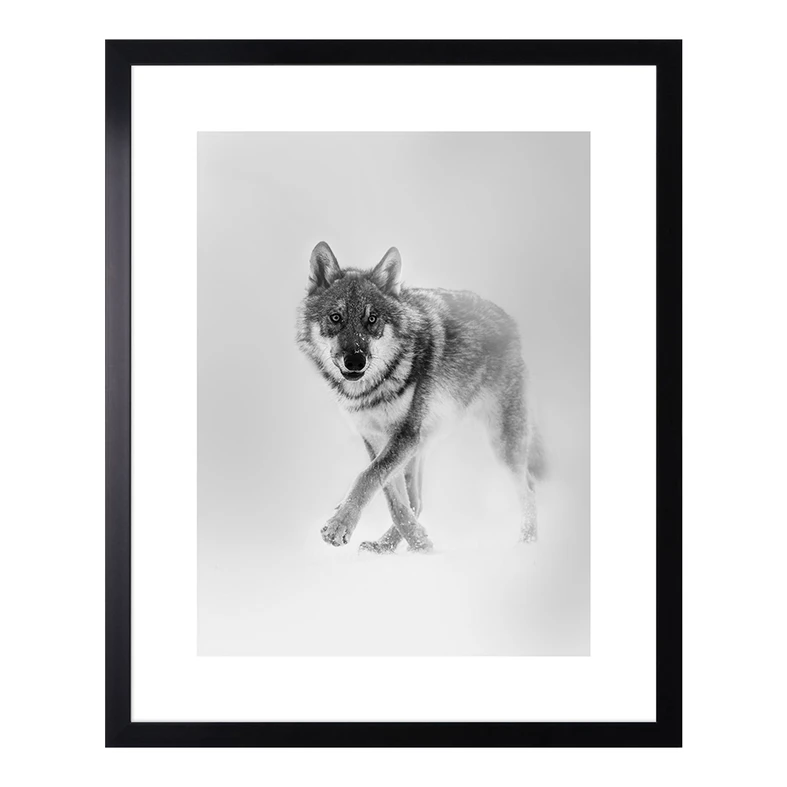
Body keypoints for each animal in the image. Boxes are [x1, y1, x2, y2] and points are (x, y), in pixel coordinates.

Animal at [296, 242, 543, 553]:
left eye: (372, 319)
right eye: (335, 318)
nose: (355, 361)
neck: (372, 390)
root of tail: (509, 320)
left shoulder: (405, 434)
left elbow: (367, 477)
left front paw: (339, 526)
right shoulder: (378, 438)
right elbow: (391, 497)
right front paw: (419, 542)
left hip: (502, 444)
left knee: (530, 490)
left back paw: (527, 542)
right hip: (424, 445)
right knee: (416, 501)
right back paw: (389, 546)